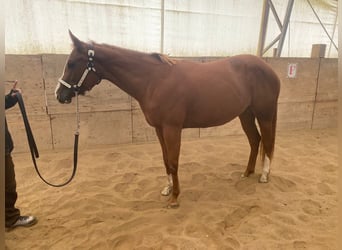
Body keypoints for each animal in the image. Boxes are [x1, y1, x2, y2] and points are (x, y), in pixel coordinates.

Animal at [55, 30, 280, 207]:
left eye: (72, 63)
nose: (59, 95)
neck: (154, 80)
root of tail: (269, 69)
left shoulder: (172, 128)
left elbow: (173, 161)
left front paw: (175, 198)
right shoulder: (159, 129)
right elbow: (165, 160)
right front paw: (167, 189)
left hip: (264, 115)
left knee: (268, 142)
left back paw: (264, 175)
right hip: (246, 114)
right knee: (255, 140)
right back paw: (247, 172)